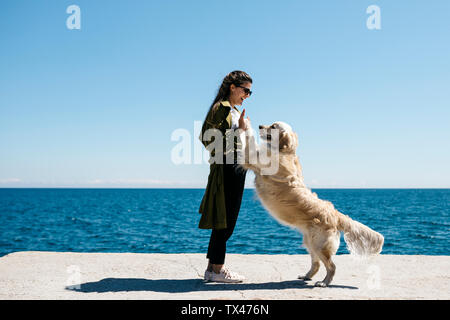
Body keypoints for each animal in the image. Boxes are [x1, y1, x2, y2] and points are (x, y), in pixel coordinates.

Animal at [241, 122, 384, 288]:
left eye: (274, 126)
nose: (260, 126)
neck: (285, 151)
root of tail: (335, 214)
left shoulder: (252, 159)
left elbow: (247, 144)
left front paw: (244, 124)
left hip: (318, 244)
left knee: (331, 266)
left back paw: (324, 282)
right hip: (310, 242)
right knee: (317, 264)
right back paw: (307, 276)